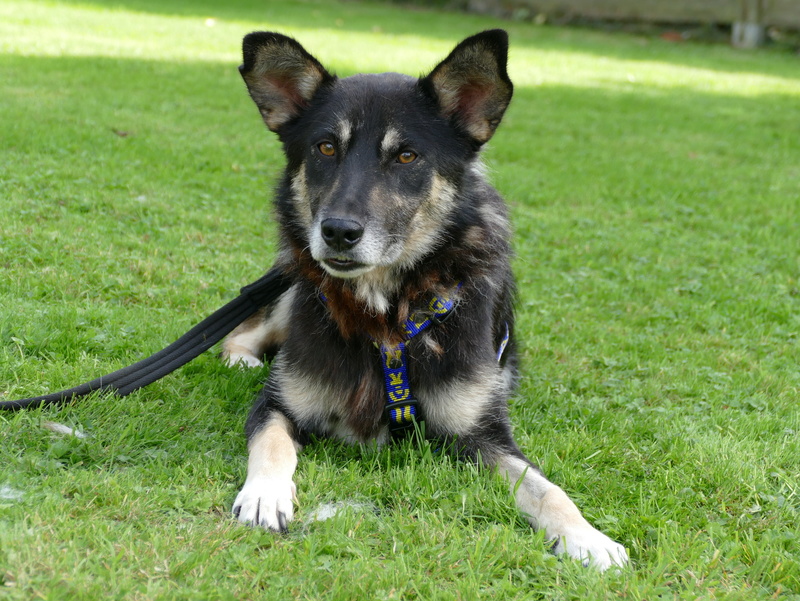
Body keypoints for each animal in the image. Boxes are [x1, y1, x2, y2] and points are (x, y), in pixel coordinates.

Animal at [222, 29, 628, 572]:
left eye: (407, 156)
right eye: (325, 147)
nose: (337, 232)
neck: (388, 316)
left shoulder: (484, 434)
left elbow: (546, 488)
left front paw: (587, 537)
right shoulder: (278, 402)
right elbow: (270, 444)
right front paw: (265, 494)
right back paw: (240, 359)